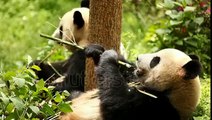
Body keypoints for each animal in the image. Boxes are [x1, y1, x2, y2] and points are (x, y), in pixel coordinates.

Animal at [58, 45, 201, 120]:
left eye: (155, 60)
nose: (138, 57)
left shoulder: (153, 105)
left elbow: (116, 101)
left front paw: (109, 57)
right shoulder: (134, 80)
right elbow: (126, 73)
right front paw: (98, 51)